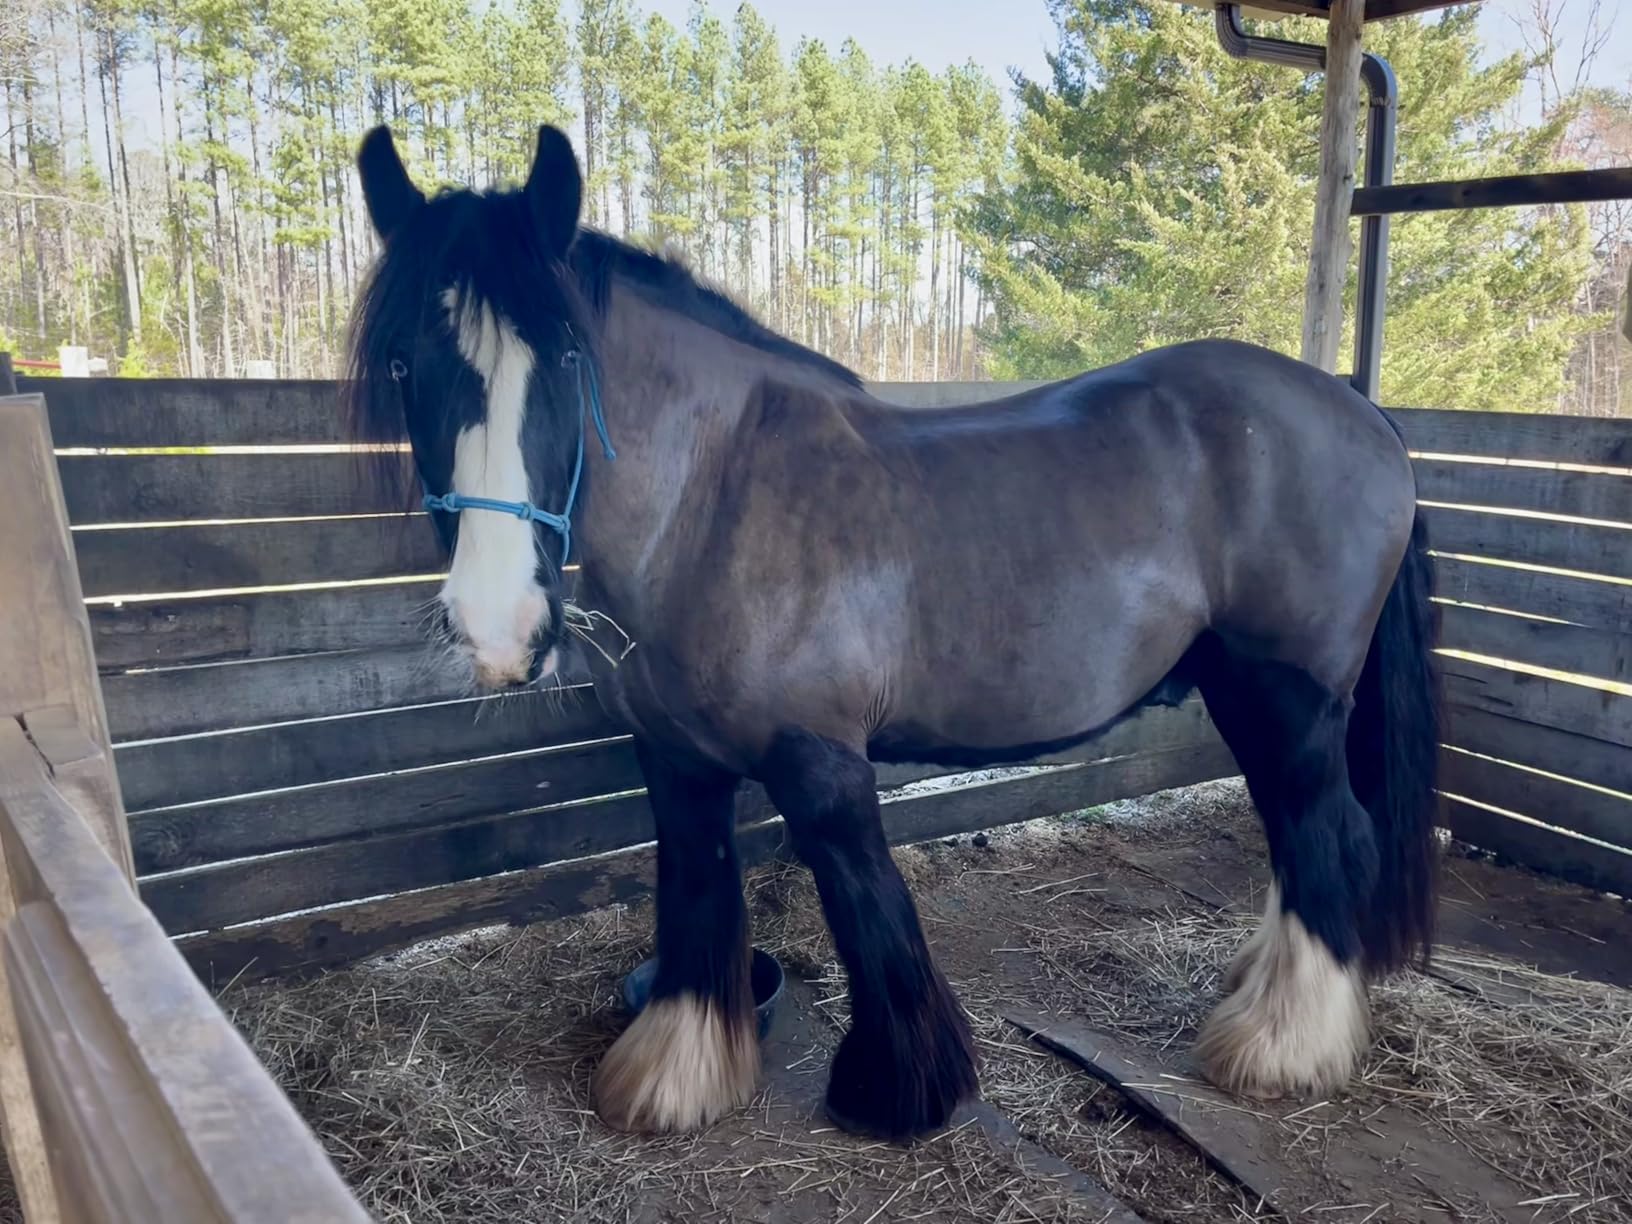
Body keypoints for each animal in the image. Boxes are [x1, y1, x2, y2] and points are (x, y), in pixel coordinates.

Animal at [346, 123, 1439, 1143]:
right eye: (403, 363)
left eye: (569, 360)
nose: (498, 626)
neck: (717, 498)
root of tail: (1361, 409)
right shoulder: (675, 761)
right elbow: (694, 898)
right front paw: (676, 1075)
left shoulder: (822, 762)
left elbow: (868, 912)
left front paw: (900, 1089)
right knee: (1303, 840)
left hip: (1288, 695)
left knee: (1328, 834)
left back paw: (1280, 1048)